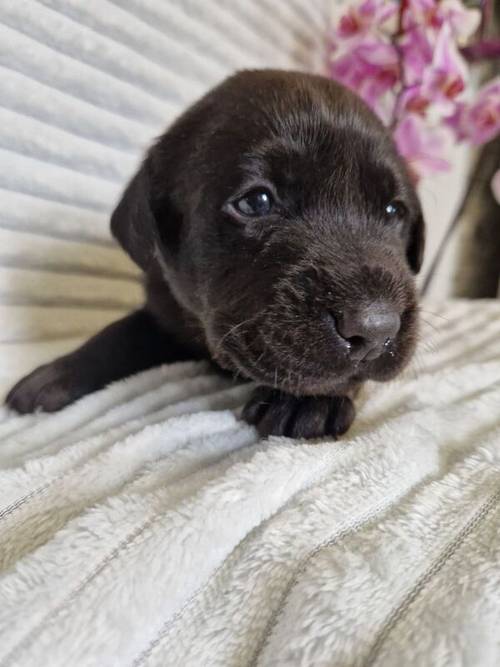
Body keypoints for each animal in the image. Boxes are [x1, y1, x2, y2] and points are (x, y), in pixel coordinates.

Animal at [5, 70, 424, 440]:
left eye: (394, 211)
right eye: (256, 201)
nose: (376, 329)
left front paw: (308, 400)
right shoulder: (165, 309)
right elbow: (118, 332)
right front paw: (56, 374)